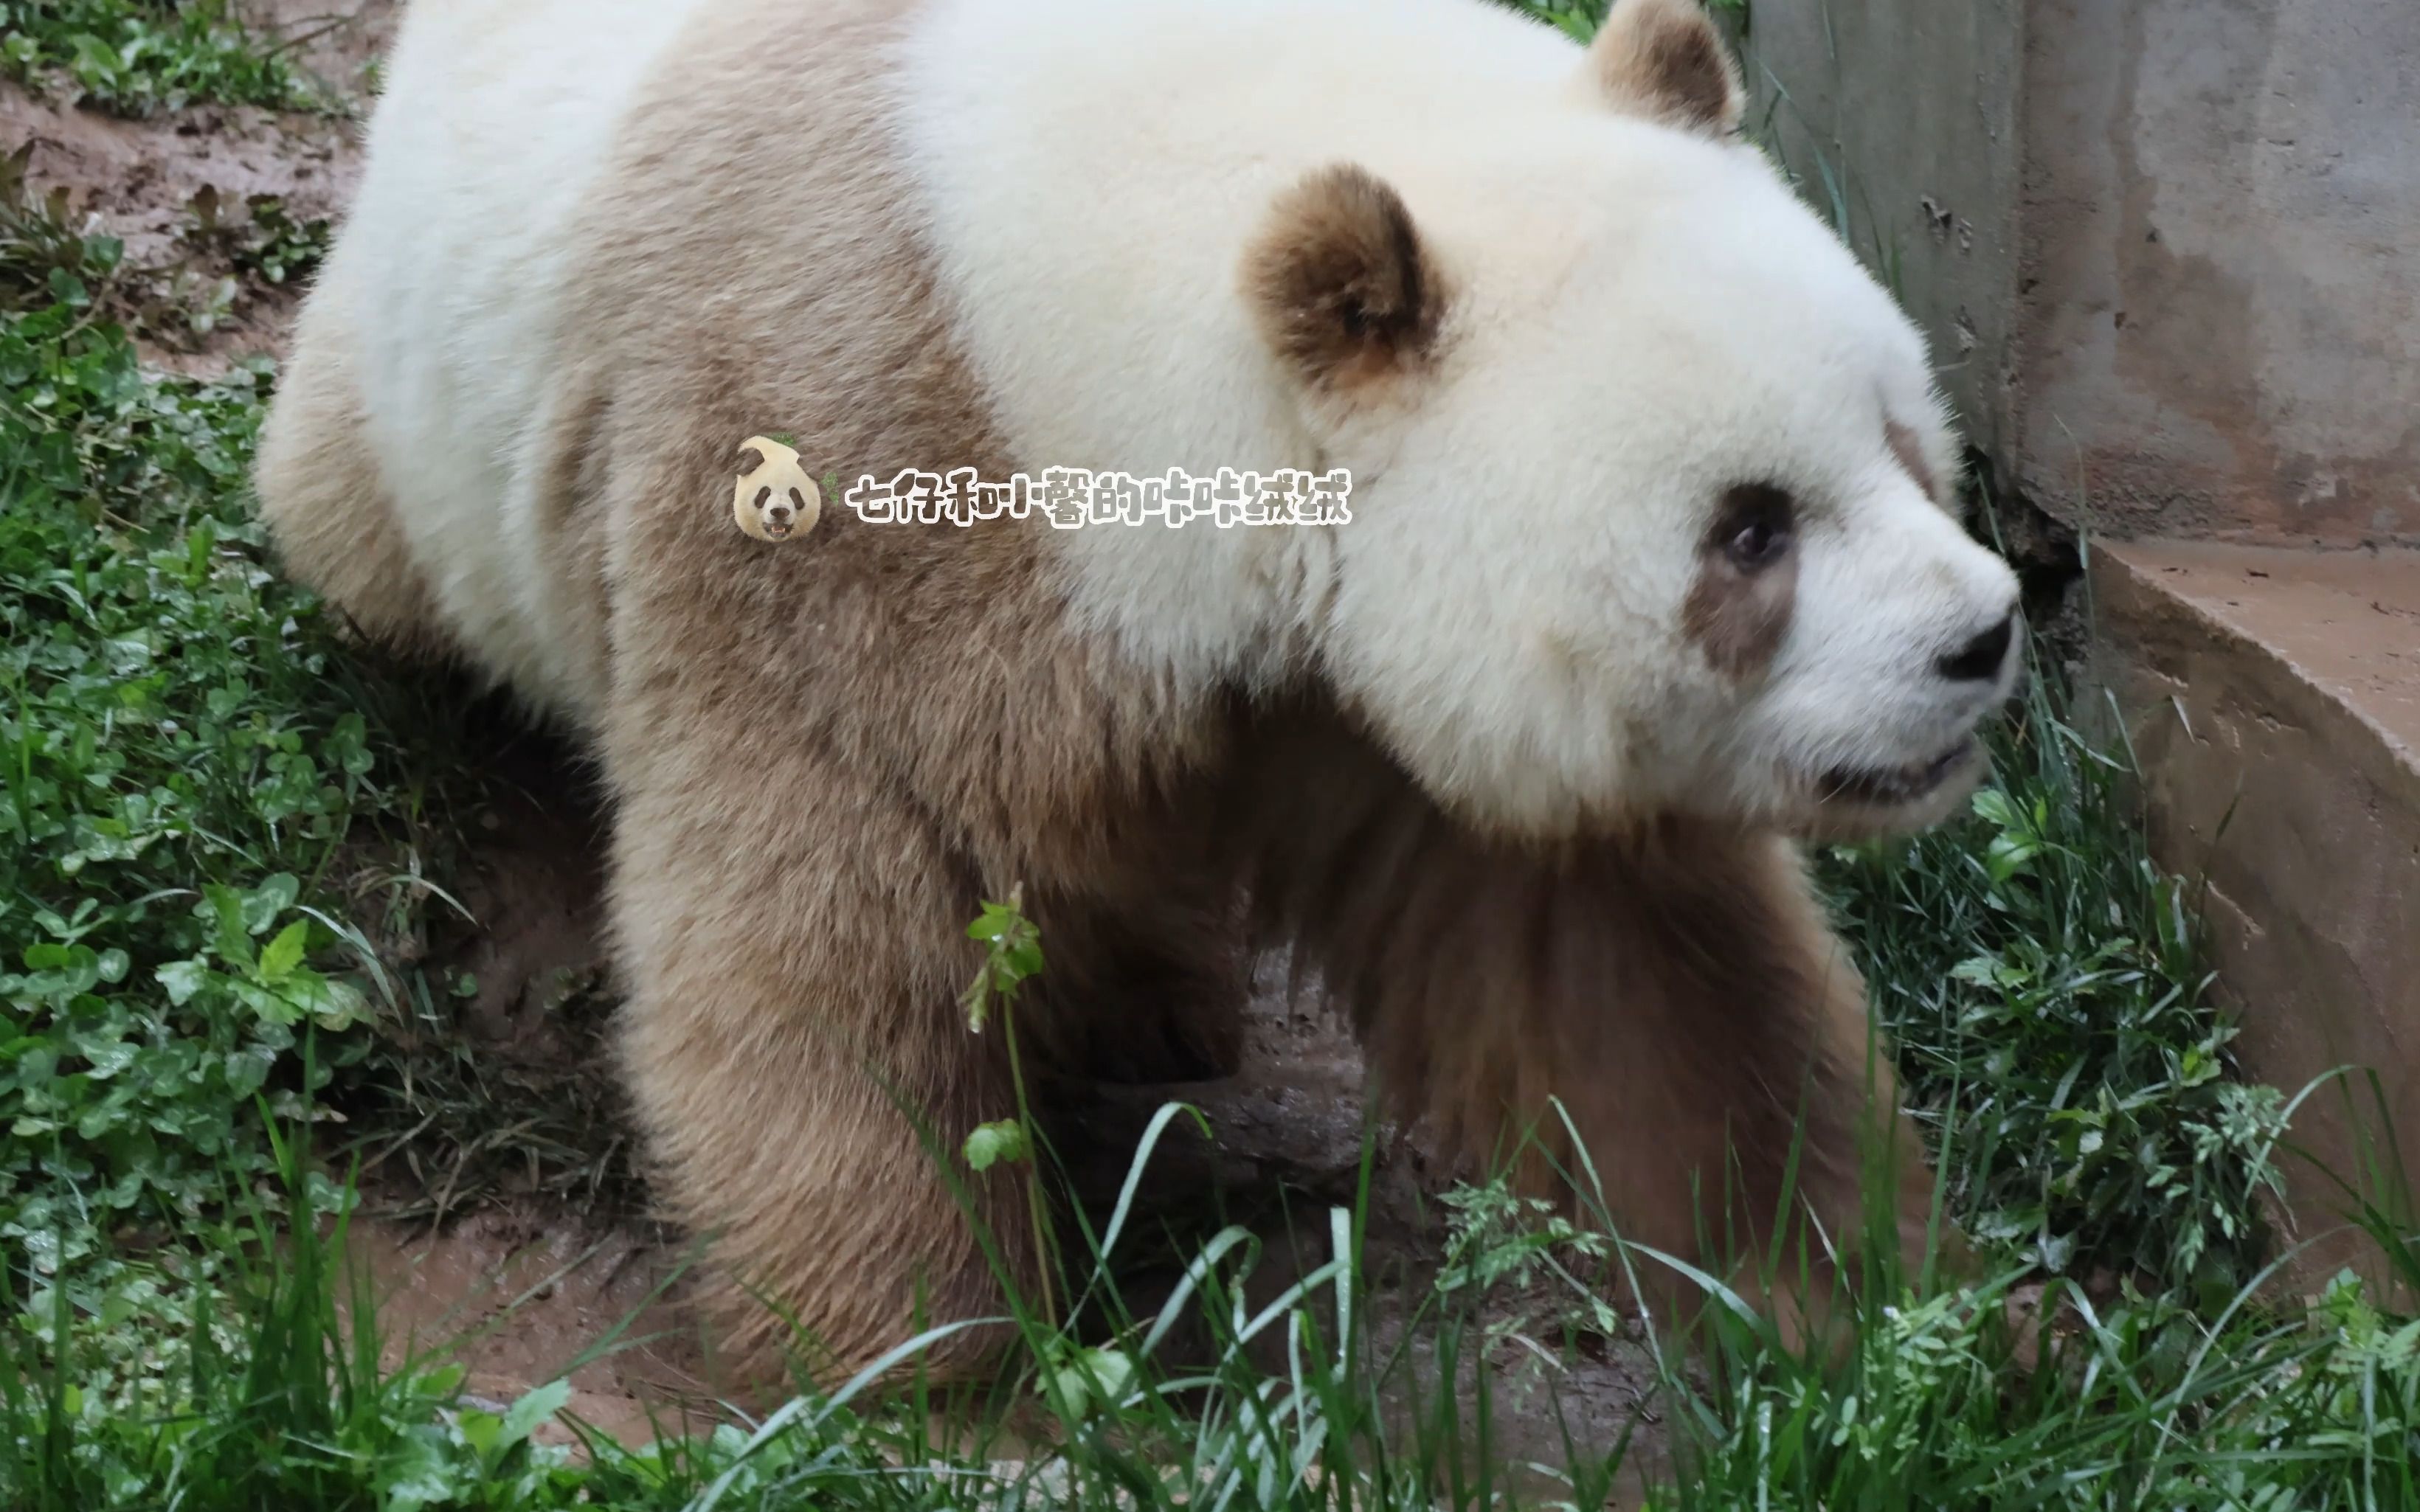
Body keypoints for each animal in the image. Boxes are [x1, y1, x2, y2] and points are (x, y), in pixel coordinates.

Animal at [255, 0, 2023, 1384]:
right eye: (1749, 529)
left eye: (1900, 437)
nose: (1981, 641)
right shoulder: (849, 477)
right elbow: (832, 925)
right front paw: (941, 1379)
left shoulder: (1350, 692)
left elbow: (1633, 979)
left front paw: (1893, 1320)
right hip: (422, 431)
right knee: (372, 539)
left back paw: (1157, 998)